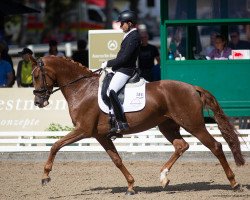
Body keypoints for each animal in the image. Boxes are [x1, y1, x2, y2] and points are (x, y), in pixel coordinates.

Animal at [31, 55, 244, 195]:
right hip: (167, 125)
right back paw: (163, 177)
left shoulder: (83, 130)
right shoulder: (100, 135)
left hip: (193, 125)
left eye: (36, 76)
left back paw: (234, 183)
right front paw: (131, 186)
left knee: (215, 146)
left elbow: (55, 145)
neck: (81, 89)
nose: (38, 102)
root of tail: (193, 87)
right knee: (181, 145)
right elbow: (117, 160)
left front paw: (45, 176)